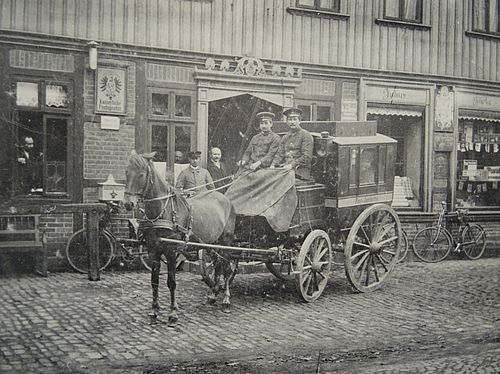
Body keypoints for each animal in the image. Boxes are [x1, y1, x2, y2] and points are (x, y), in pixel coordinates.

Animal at [123, 152, 236, 324]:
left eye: (142, 174)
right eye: (127, 172)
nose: (128, 204)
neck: (163, 211)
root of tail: (226, 199)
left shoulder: (170, 252)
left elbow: (171, 282)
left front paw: (172, 313)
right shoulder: (153, 251)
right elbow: (154, 281)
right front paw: (154, 310)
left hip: (226, 242)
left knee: (227, 269)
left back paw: (226, 300)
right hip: (213, 244)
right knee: (217, 266)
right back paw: (213, 294)